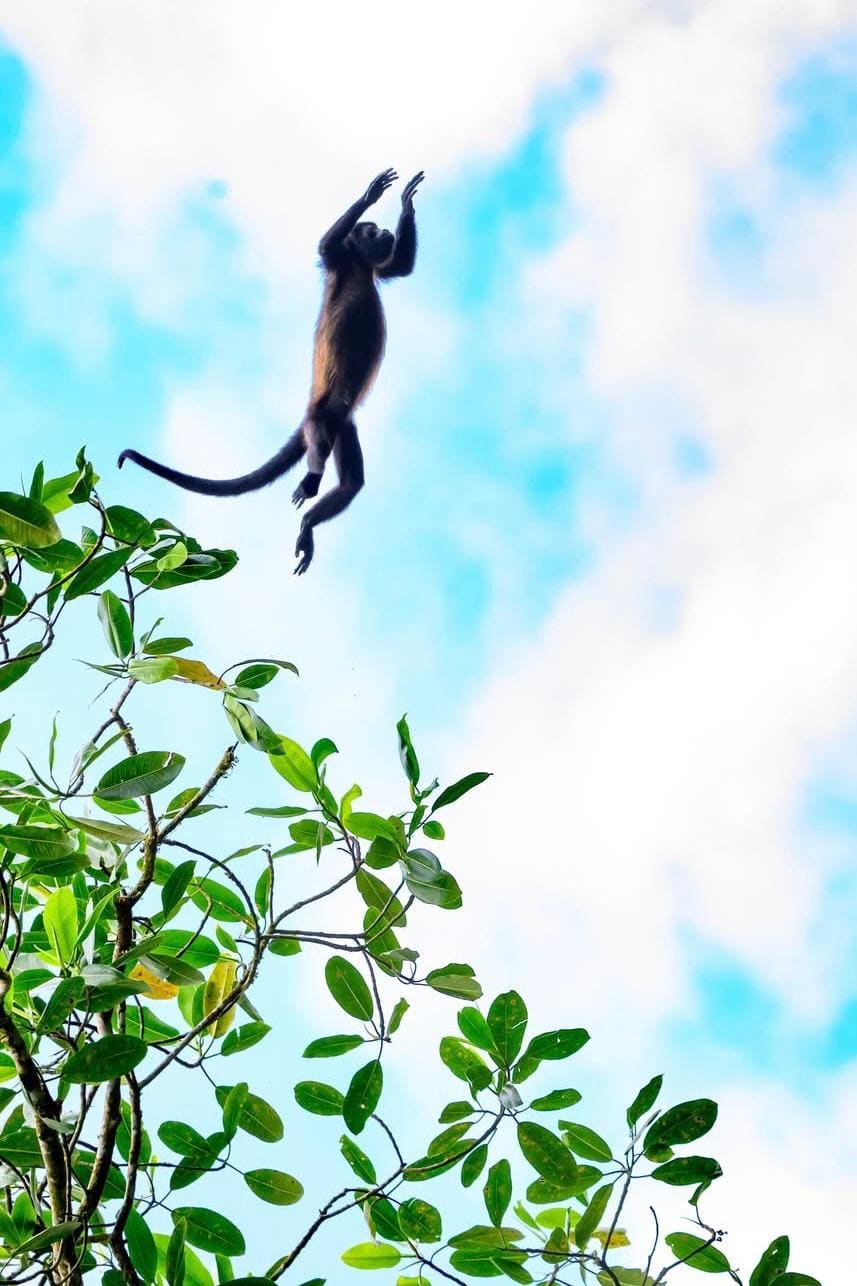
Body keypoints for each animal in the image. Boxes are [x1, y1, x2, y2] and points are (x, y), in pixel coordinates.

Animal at [118, 167, 424, 574]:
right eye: (371, 231)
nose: (385, 231)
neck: (359, 267)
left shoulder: (374, 268)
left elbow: (400, 268)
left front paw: (408, 200)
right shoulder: (338, 259)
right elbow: (326, 244)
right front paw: (370, 193)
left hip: (344, 424)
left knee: (350, 485)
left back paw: (309, 523)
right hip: (320, 416)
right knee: (317, 444)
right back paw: (311, 481)